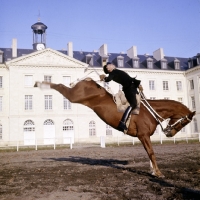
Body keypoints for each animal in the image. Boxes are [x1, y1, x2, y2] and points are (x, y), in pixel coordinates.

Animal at [34, 77, 195, 177]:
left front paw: (153, 171)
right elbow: (151, 153)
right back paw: (40, 84)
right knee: (61, 87)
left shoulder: (145, 137)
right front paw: (158, 173)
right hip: (74, 96)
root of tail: (89, 80)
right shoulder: (143, 136)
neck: (150, 112)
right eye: (184, 122)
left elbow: (150, 154)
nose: (170, 134)